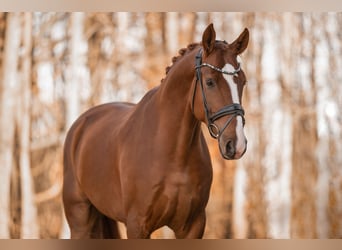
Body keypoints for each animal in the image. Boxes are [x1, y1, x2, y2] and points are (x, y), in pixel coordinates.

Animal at [62, 24, 248, 239]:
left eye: (243, 81)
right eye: (210, 81)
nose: (236, 144)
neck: (172, 155)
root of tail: (80, 125)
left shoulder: (193, 226)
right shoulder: (137, 225)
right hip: (80, 220)